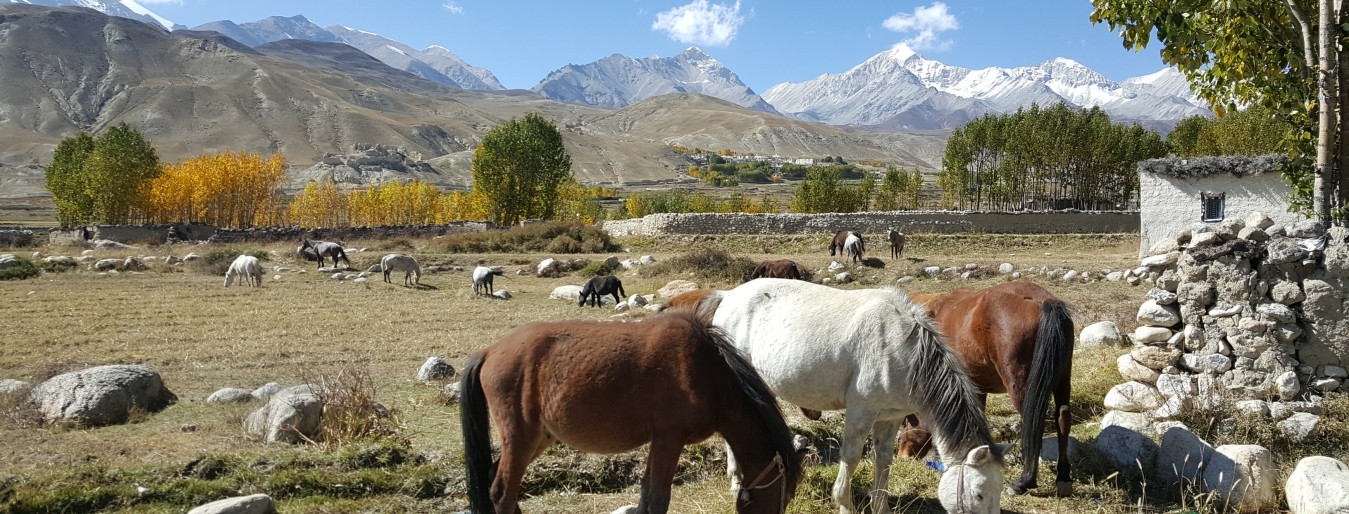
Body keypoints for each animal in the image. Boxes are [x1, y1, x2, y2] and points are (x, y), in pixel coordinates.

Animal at [464, 304, 804, 512]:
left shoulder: (660, 440)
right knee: (502, 493)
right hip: (522, 438)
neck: (707, 371)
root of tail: (490, 351)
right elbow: (658, 498)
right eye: (784, 497)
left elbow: (646, 495)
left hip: (538, 438)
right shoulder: (670, 438)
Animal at [712, 277, 1009, 512]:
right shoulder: (861, 412)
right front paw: (843, 503)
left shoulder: (890, 417)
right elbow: (851, 458)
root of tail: (727, 296)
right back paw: (736, 482)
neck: (902, 349)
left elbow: (884, 460)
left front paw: (880, 507)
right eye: (978, 494)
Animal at [901, 280, 1079, 496]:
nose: (902, 455)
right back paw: (1063, 476)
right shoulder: (977, 388)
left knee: (1033, 421)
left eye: (905, 423)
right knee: (1063, 417)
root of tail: (1043, 300)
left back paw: (1025, 480)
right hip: (1063, 377)